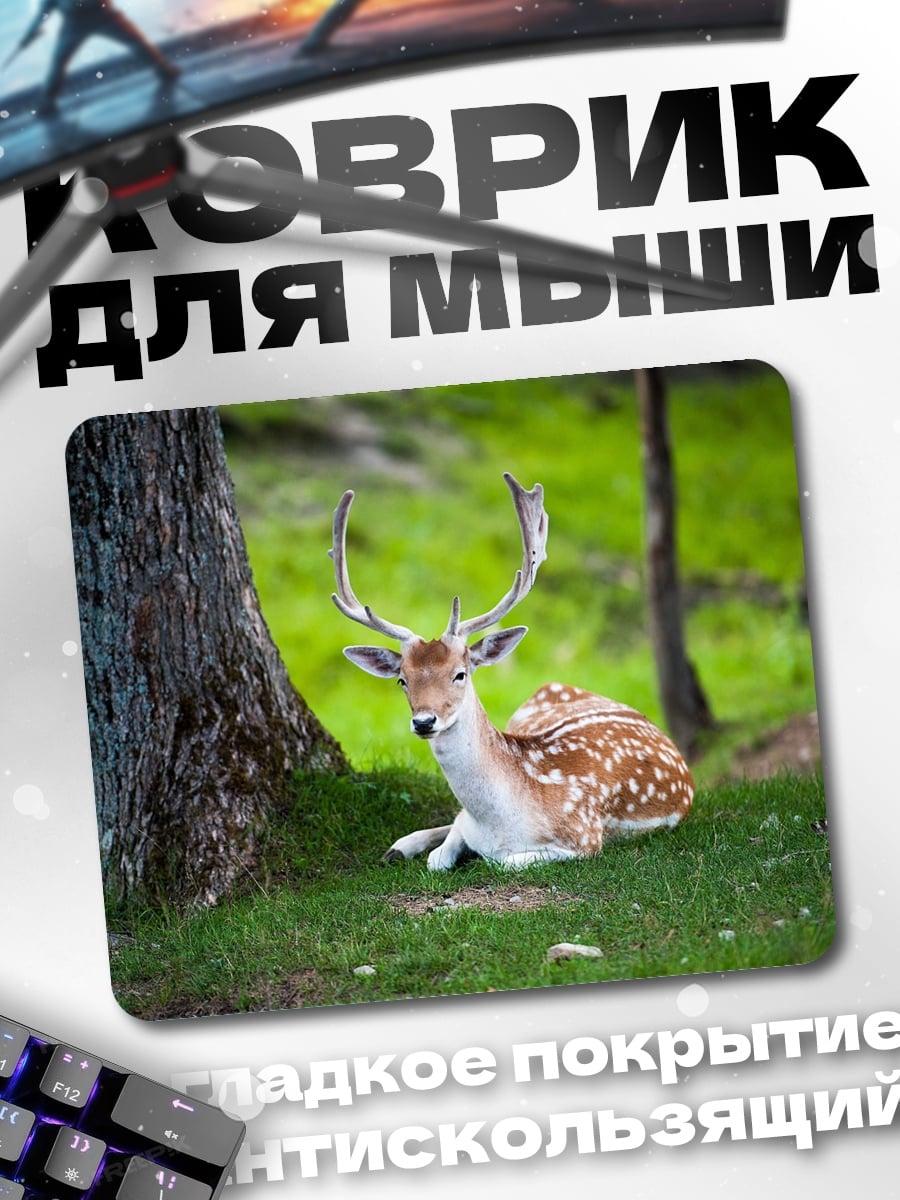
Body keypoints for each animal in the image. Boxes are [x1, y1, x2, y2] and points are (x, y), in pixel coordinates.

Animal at [329, 472, 694, 870]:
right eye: (402, 680)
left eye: (460, 673)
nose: (424, 721)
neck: (500, 822)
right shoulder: (468, 823)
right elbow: (441, 853)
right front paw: (415, 847)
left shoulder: (585, 837)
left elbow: (501, 861)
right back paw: (399, 846)